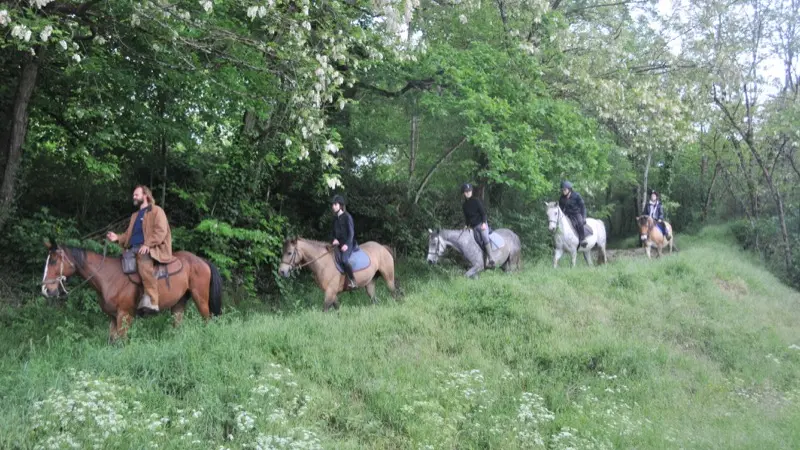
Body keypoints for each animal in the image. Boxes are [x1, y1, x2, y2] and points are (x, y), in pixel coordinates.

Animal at [40, 239, 222, 342]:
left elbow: (122, 341)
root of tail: (202, 261)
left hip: (201, 299)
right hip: (179, 303)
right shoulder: (112, 317)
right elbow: (112, 341)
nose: (46, 290)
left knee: (208, 320)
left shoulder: (124, 315)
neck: (108, 277)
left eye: (54, 261)